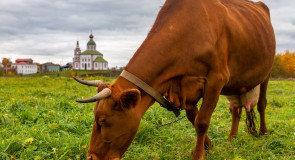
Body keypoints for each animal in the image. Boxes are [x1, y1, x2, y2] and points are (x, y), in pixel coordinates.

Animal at [73, 0, 276, 159]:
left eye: (103, 120)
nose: (90, 157)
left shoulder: (216, 80)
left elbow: (202, 121)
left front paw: (199, 155)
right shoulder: (183, 87)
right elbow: (193, 119)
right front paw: (209, 148)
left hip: (266, 73)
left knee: (262, 104)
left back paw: (263, 132)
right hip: (236, 83)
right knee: (236, 109)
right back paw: (231, 139)